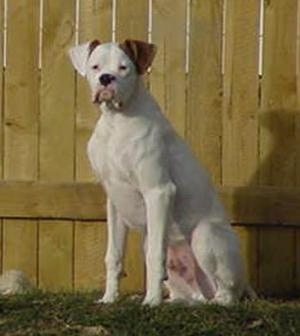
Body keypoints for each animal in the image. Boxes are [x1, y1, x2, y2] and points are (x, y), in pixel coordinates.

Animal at [68, 38, 253, 306]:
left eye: (124, 68)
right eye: (95, 67)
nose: (106, 79)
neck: (116, 122)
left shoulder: (158, 192)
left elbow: (156, 256)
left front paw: (151, 302)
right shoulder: (114, 201)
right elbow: (113, 256)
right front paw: (109, 298)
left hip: (205, 235)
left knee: (227, 293)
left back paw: (209, 301)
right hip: (162, 252)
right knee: (187, 293)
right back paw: (175, 302)